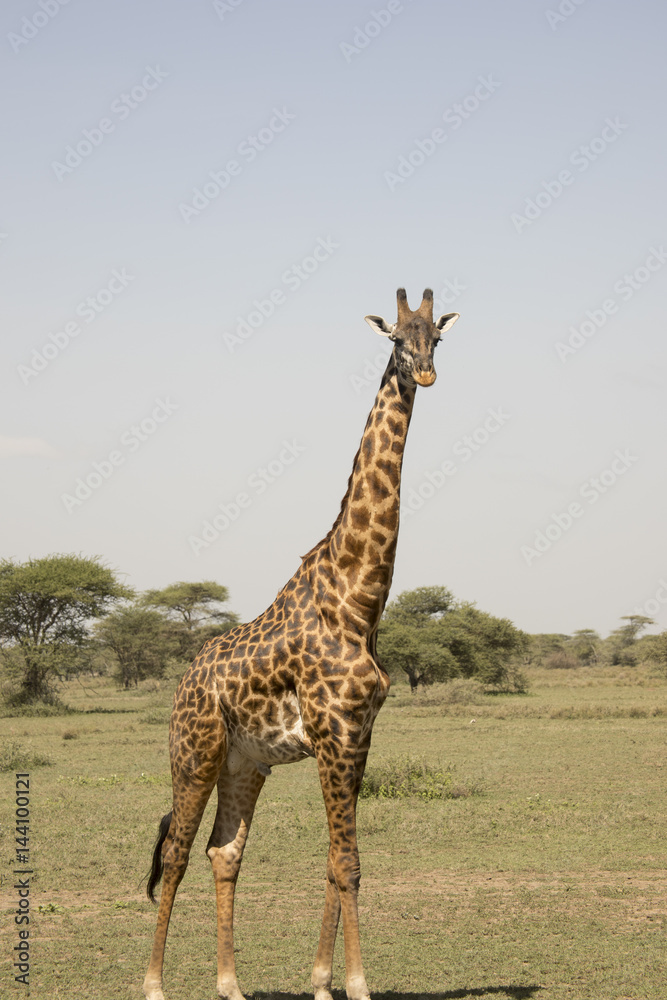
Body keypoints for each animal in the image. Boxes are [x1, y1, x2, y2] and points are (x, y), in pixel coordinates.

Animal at [142, 287, 460, 1000]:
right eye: (396, 338)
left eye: (438, 338)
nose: (425, 374)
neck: (359, 601)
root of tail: (185, 680)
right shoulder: (334, 732)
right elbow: (349, 864)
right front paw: (358, 984)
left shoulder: (359, 734)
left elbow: (336, 862)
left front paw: (320, 981)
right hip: (194, 751)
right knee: (175, 851)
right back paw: (152, 983)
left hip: (244, 762)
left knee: (223, 851)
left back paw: (230, 984)